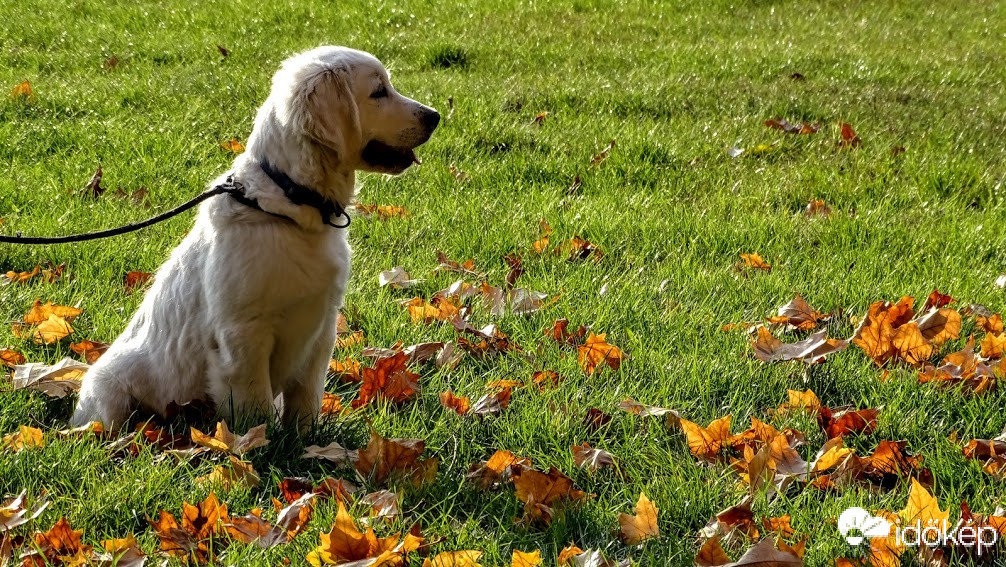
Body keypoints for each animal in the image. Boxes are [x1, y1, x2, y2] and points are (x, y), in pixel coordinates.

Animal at [66, 46, 436, 432]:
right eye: (379, 92)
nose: (435, 117)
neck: (292, 204)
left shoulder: (321, 329)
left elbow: (306, 396)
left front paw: (303, 439)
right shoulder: (243, 335)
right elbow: (255, 404)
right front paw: (258, 442)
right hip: (110, 390)